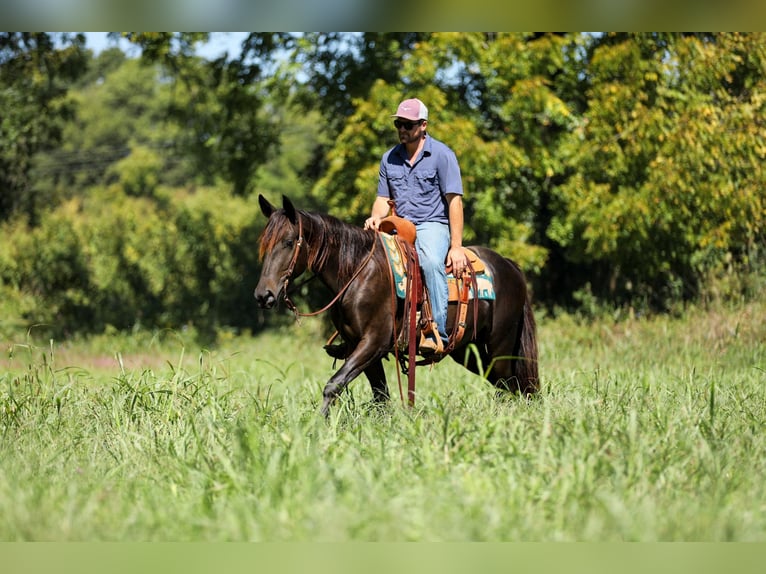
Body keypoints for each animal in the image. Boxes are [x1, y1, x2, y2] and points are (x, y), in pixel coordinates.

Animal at [254, 194, 539, 416]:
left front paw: (317, 426)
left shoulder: (374, 342)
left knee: (510, 386)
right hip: (470, 352)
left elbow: (333, 385)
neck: (358, 272)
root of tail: (509, 266)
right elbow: (380, 396)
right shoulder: (360, 347)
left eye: (288, 242)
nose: (262, 295)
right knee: (509, 386)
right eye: (264, 244)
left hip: (499, 348)